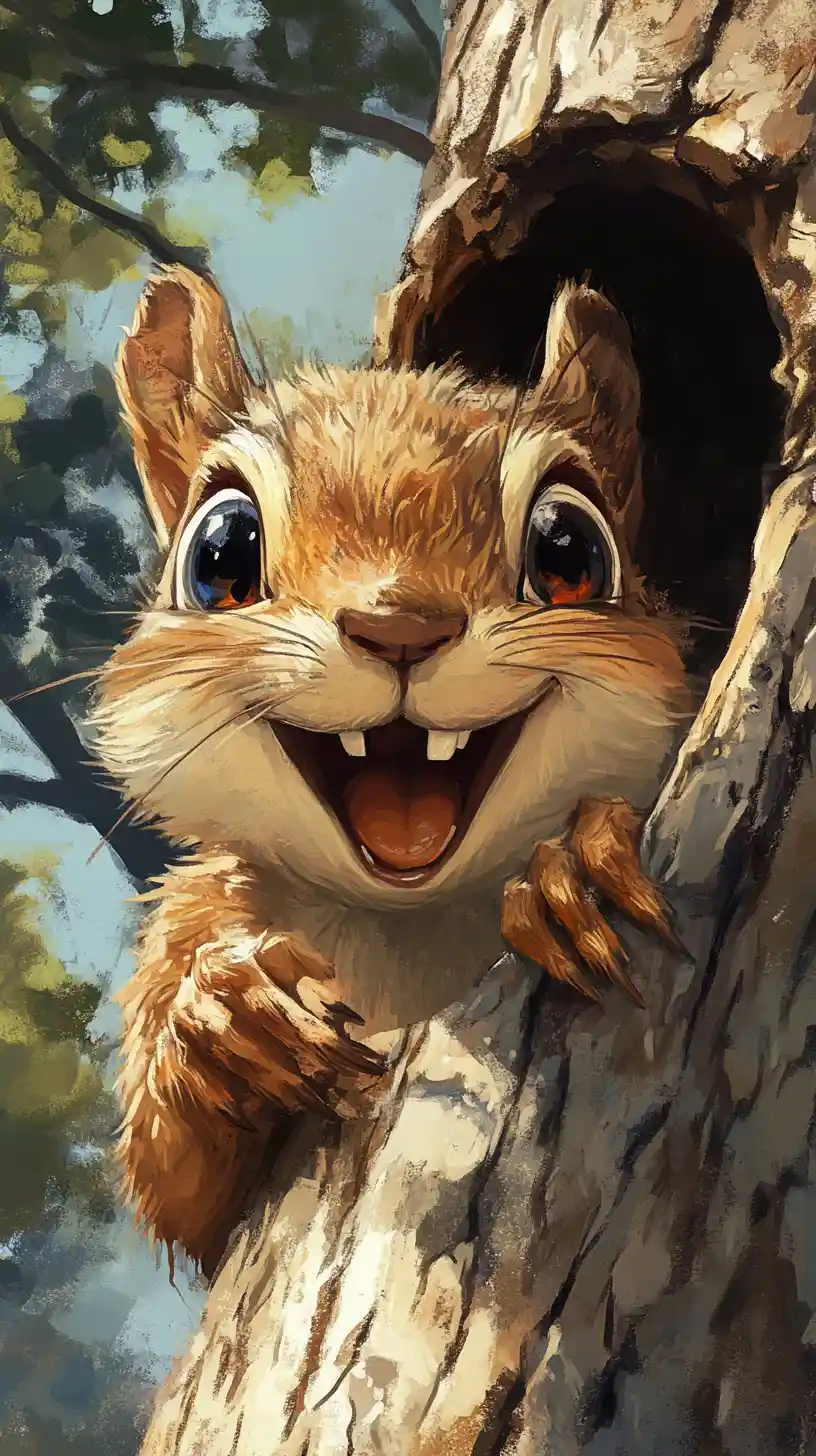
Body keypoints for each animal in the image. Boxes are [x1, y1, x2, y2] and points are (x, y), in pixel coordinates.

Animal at [89, 265, 692, 1277]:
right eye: (218, 554)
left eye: (571, 548)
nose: (401, 626)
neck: (409, 921)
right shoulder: (196, 914)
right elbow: (174, 1188)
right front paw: (224, 1022)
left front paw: (568, 871)